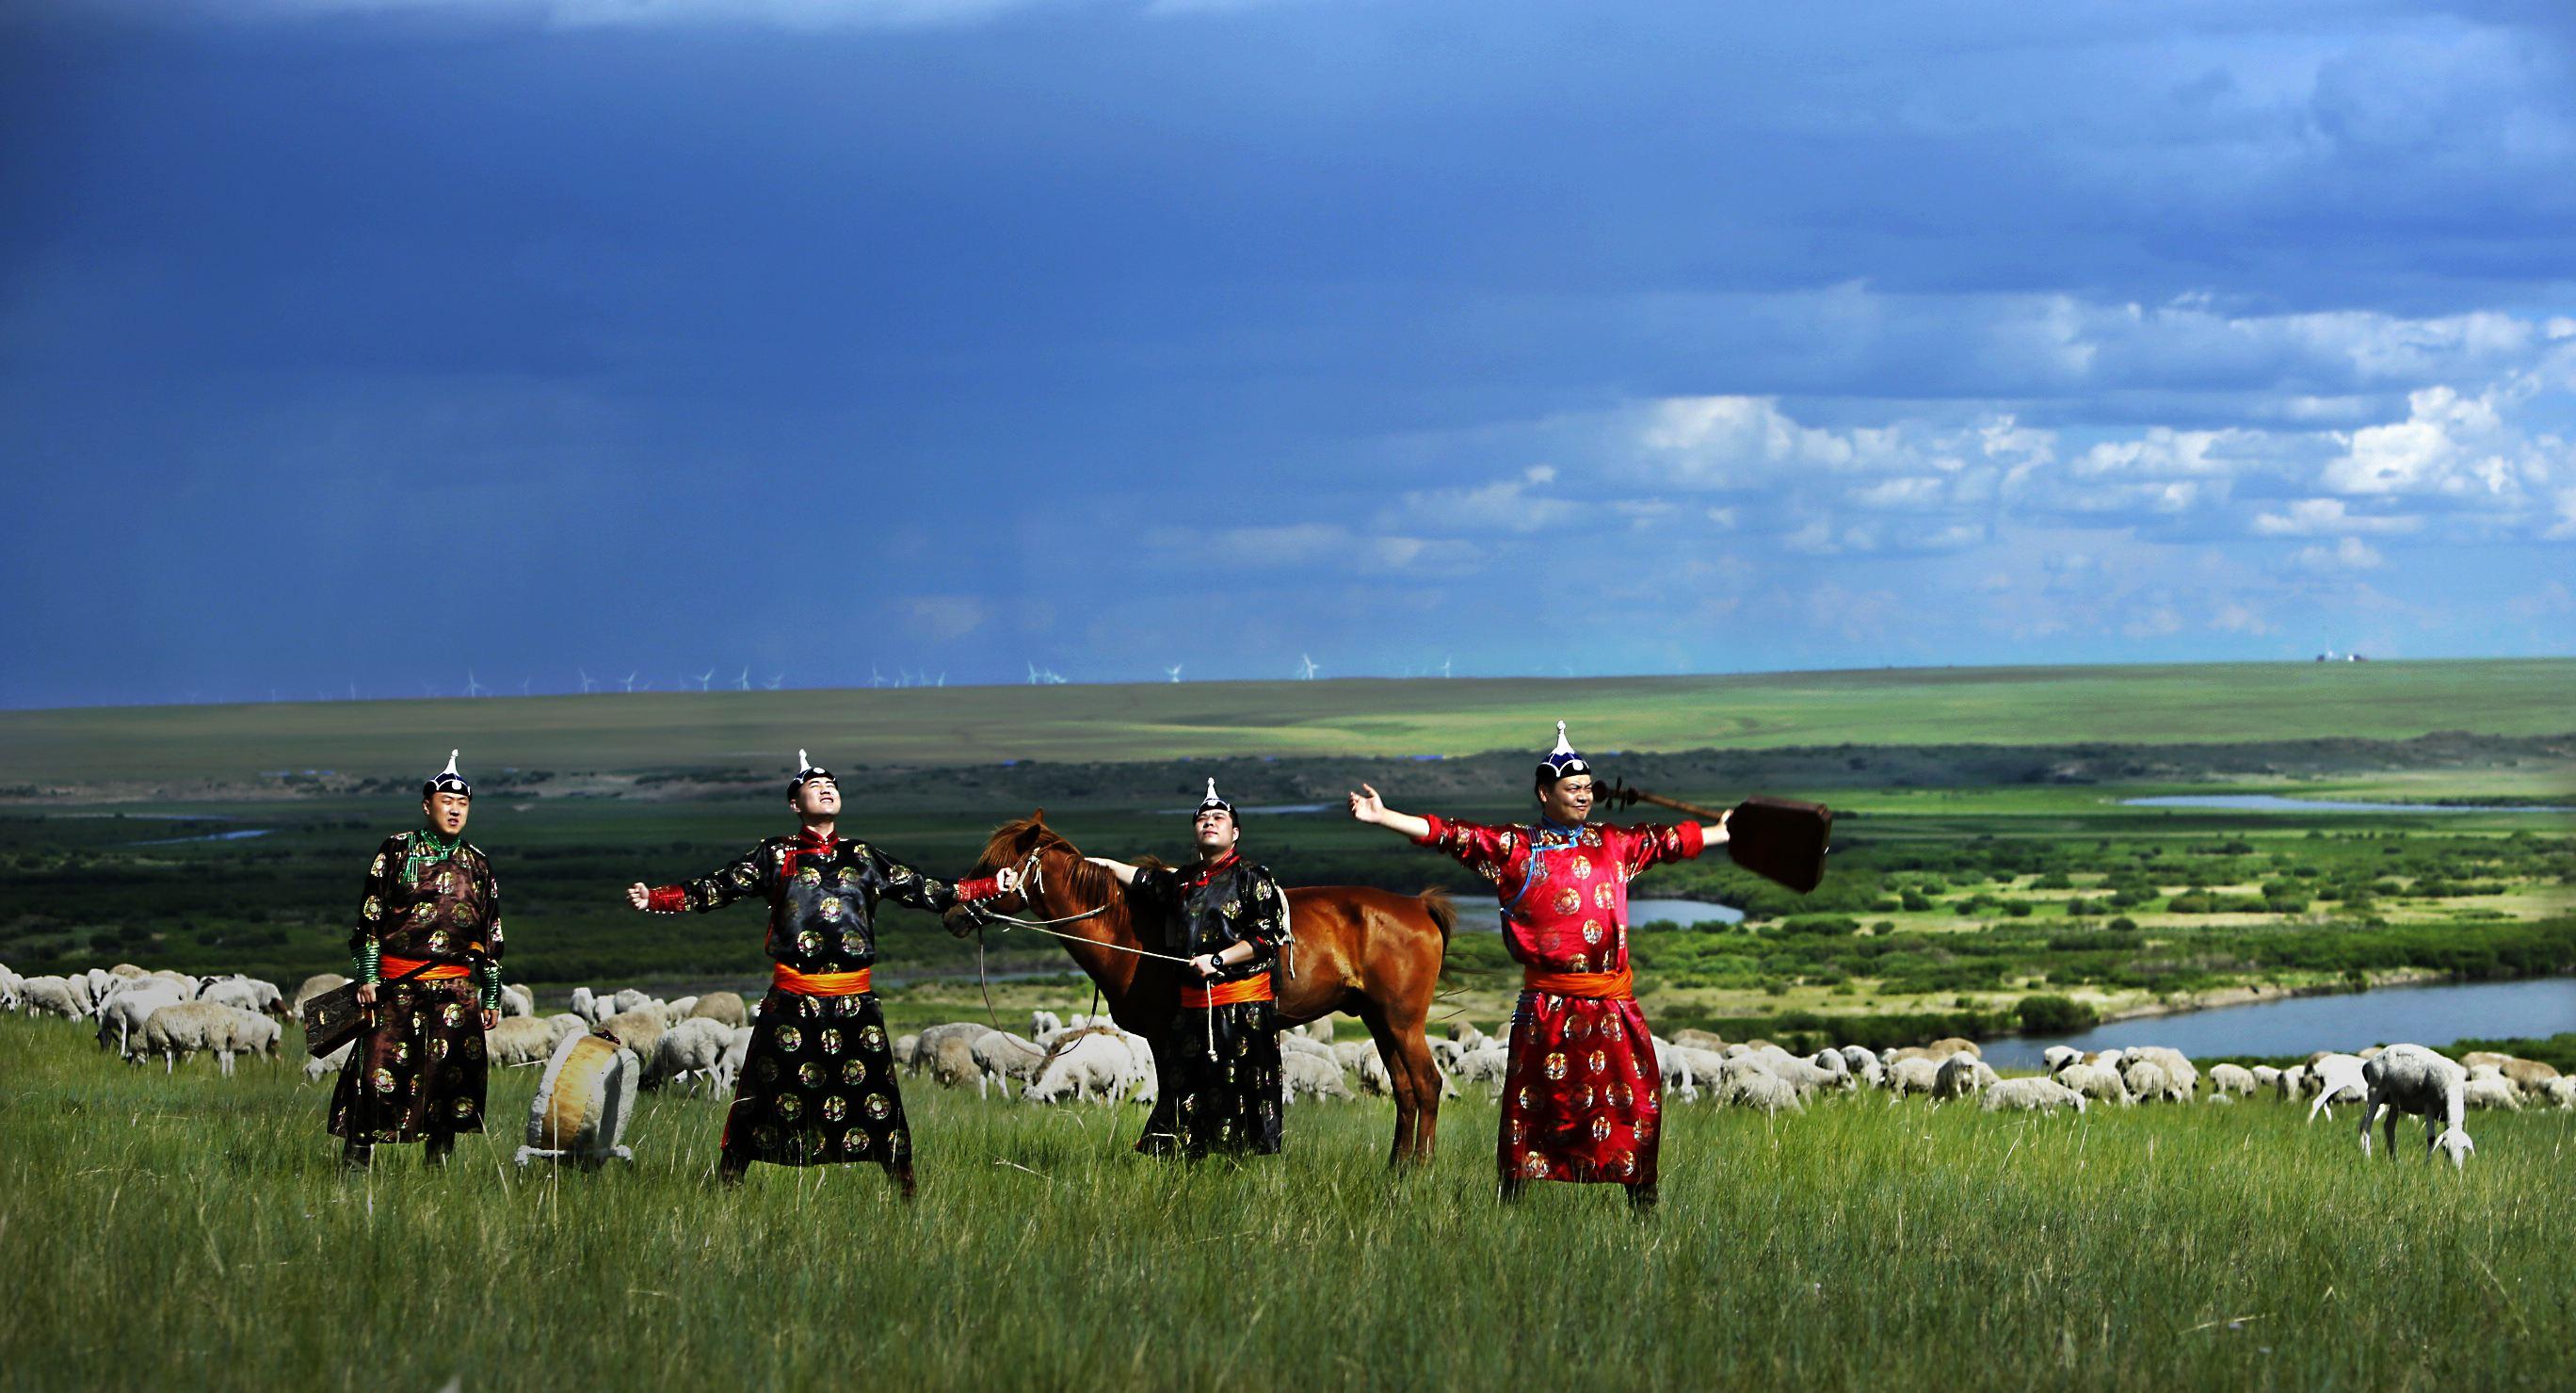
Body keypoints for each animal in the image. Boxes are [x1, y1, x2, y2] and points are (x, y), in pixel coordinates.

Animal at [958, 808, 1463, 1169]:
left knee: (1427, 1084)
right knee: (1405, 1089)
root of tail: (1418, 906)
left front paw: (1169, 1150)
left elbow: (1172, 1093)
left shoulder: (1163, 1034)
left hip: (1402, 1020)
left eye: (997, 867)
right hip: (1379, 1019)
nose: (951, 907)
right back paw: (1396, 1166)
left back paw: (1419, 1169)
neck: (1126, 928)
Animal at [2359, 1034, 2472, 1169]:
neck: (2452, 1085)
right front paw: (2428, 1165)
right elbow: (2431, 1138)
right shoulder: (2429, 1106)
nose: (2456, 1169)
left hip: (2395, 1100)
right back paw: (2367, 1158)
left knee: (2388, 1127)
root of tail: (2370, 1062)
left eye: (2464, 1148)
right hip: (2375, 1091)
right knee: (2366, 1126)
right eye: (2445, 1148)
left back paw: (2395, 1161)